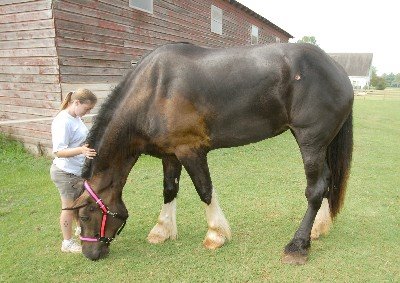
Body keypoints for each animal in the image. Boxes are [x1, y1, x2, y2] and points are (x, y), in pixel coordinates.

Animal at [71, 42, 354, 264]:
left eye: (85, 215)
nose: (90, 253)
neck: (155, 90)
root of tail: (338, 70)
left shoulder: (191, 151)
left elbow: (204, 190)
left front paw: (216, 234)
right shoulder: (170, 155)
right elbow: (169, 190)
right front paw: (162, 230)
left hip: (310, 141)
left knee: (315, 189)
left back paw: (298, 245)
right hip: (318, 143)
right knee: (327, 181)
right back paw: (318, 228)